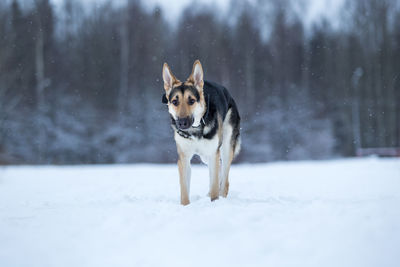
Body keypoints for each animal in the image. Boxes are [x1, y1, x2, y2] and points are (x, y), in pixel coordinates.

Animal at [162, 60, 241, 205]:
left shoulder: (213, 153)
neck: (195, 130)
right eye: (175, 102)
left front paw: (214, 202)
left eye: (191, 100)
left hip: (226, 147)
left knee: (224, 180)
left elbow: (215, 186)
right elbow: (184, 191)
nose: (182, 123)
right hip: (207, 156)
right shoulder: (184, 158)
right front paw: (185, 206)